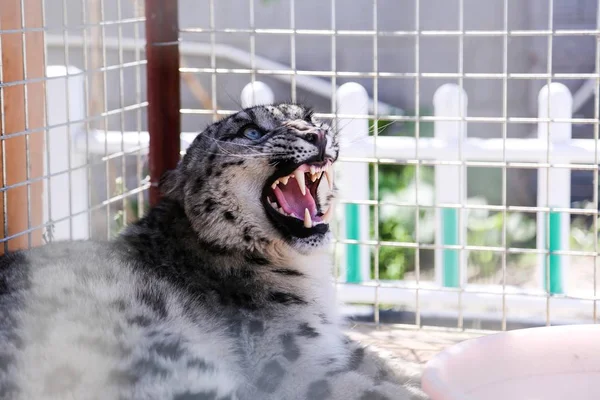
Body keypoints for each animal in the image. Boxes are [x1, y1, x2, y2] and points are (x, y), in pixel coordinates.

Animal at [0, 104, 426, 400]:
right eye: (251, 130)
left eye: (307, 116)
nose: (316, 134)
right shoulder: (297, 364)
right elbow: (379, 390)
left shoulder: (328, 344)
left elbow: (378, 361)